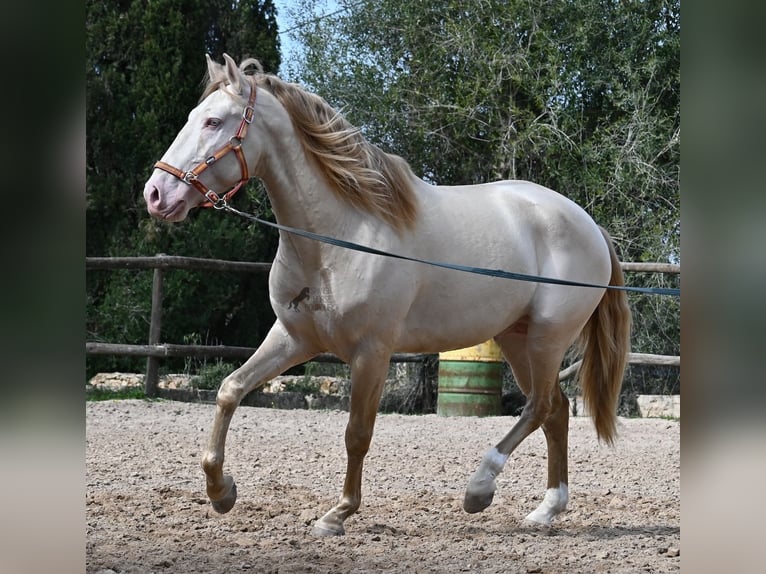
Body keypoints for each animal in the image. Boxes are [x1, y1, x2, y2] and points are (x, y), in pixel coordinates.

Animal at [142, 56, 632, 536]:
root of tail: (588, 224)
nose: (156, 194)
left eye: (213, 121)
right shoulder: (294, 338)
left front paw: (337, 514)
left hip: (548, 337)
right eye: (193, 117)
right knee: (556, 411)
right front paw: (221, 491)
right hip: (516, 337)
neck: (339, 236)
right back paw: (546, 509)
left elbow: (357, 433)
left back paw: (479, 489)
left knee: (540, 406)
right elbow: (230, 390)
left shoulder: (372, 351)